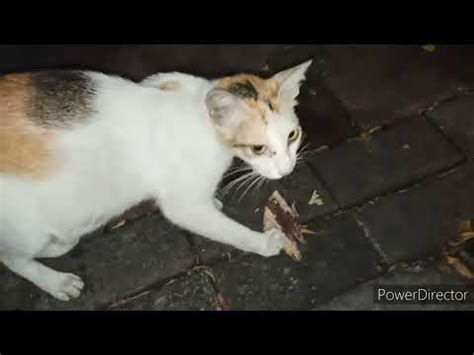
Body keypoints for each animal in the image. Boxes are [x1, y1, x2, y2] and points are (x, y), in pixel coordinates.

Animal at [0, 59, 312, 302]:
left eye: (292, 136)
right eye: (258, 148)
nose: (287, 169)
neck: (200, 116)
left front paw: (213, 202)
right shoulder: (182, 207)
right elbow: (226, 230)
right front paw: (264, 243)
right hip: (31, 228)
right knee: (11, 257)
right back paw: (57, 281)